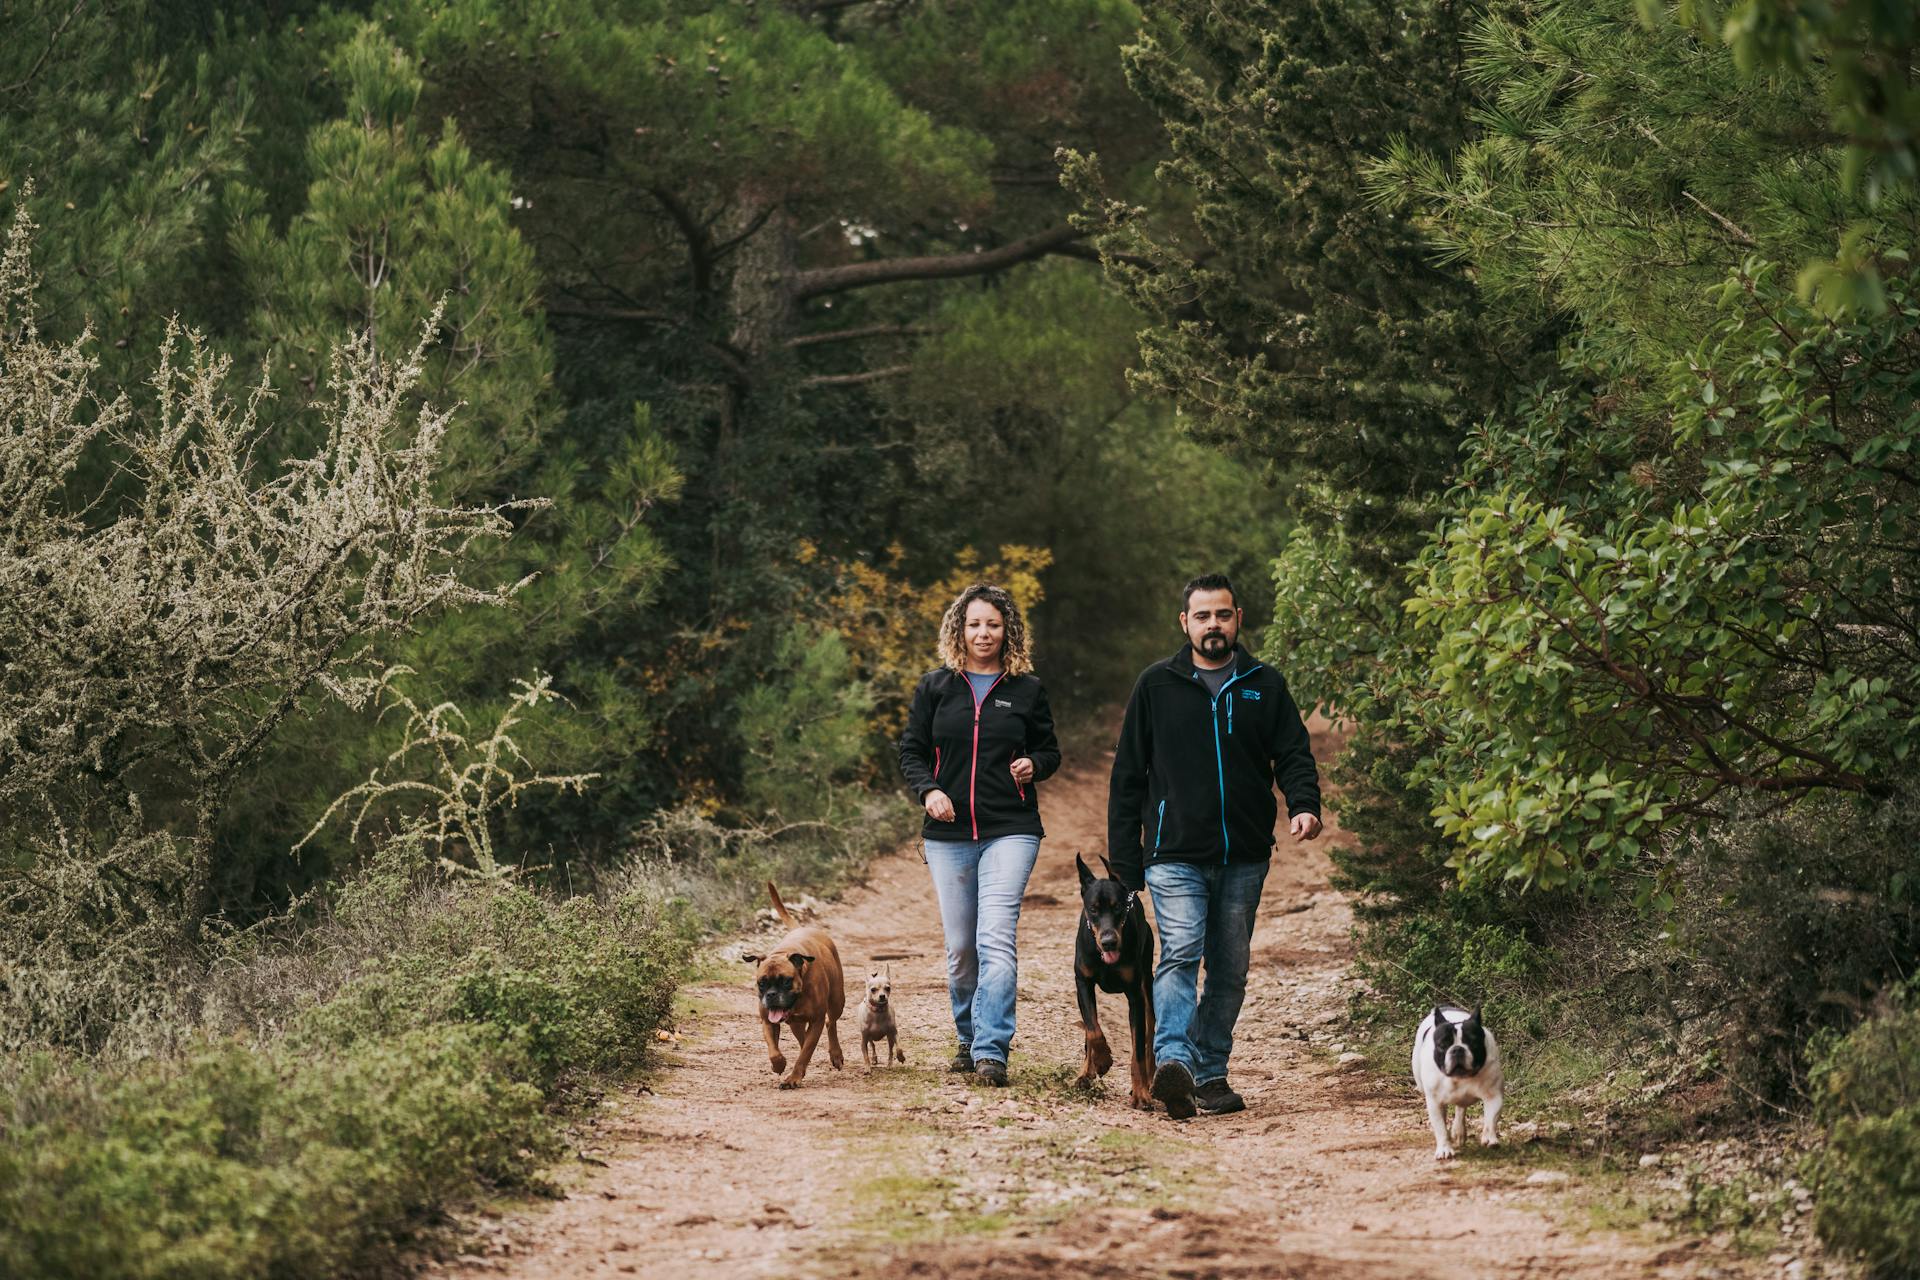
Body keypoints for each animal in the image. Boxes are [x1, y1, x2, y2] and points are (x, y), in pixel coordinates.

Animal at [744, 882, 844, 1090]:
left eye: (786, 981)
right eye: (762, 983)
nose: (771, 995)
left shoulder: (816, 1020)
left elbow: (805, 1053)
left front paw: (793, 1078)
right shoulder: (768, 1021)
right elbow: (774, 1050)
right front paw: (779, 1065)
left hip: (838, 1001)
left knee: (831, 1022)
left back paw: (836, 1054)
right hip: (796, 1023)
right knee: (803, 1038)